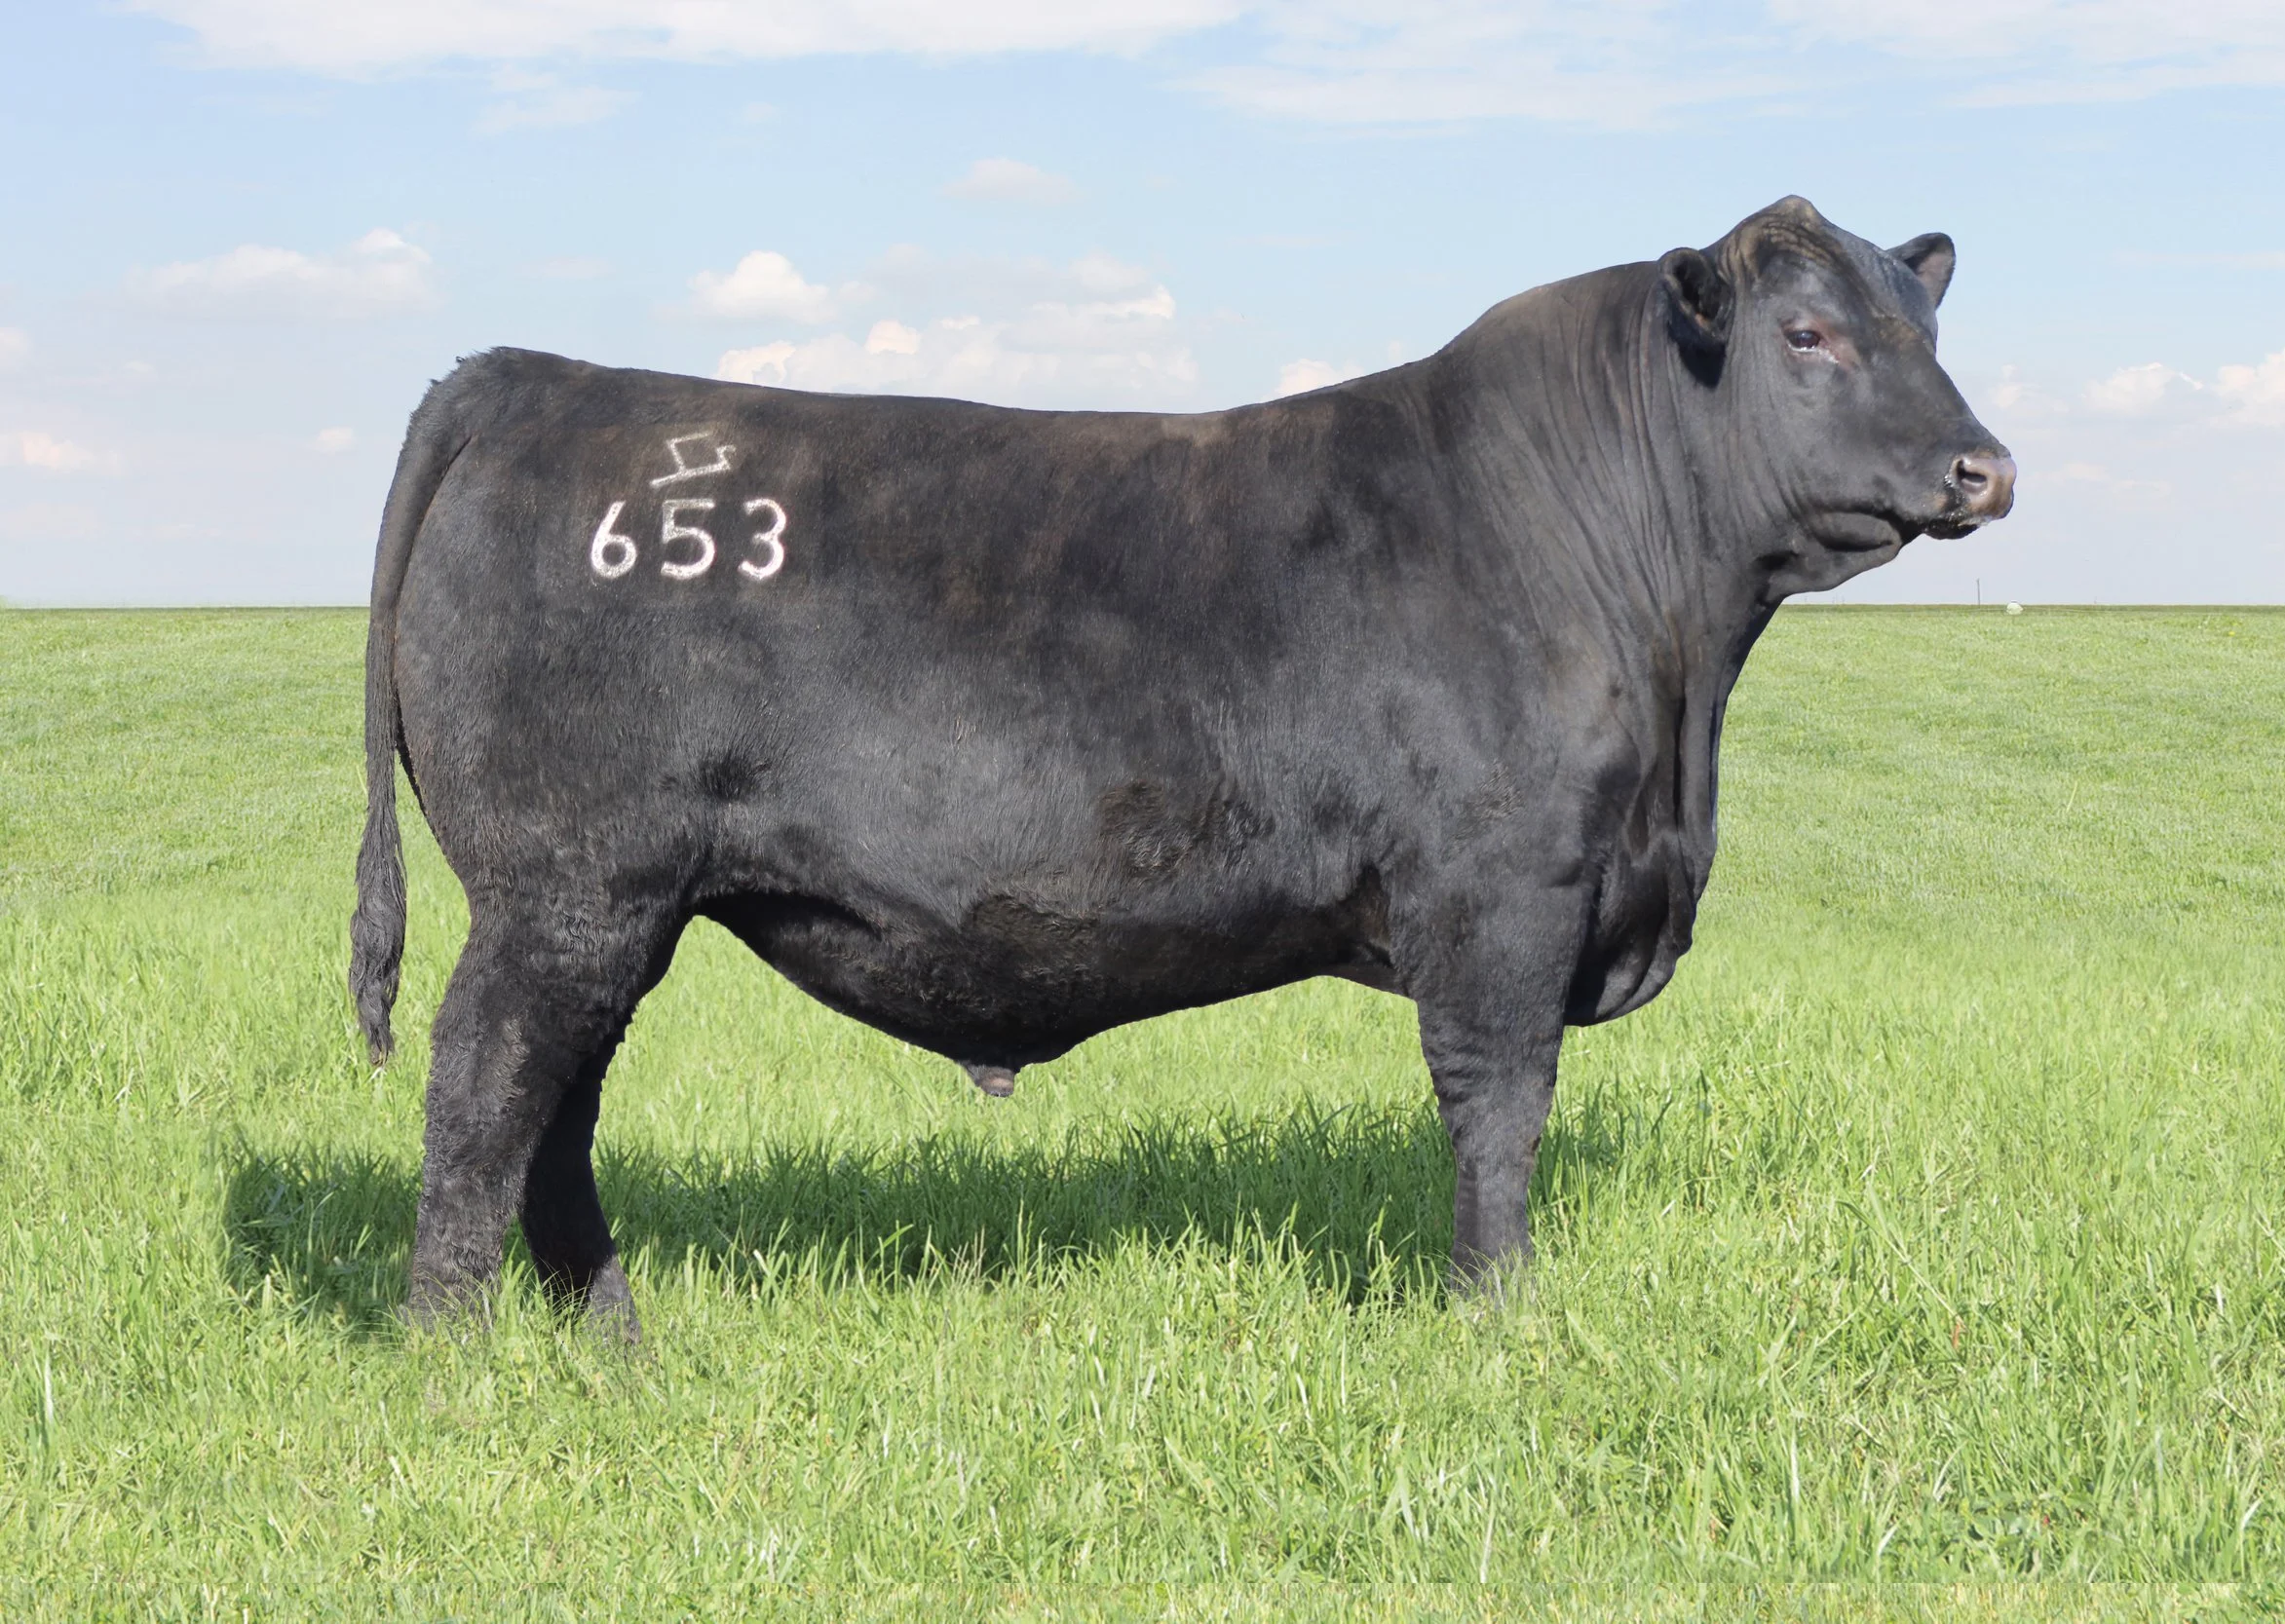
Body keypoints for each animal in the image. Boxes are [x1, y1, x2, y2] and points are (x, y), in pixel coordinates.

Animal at [351, 196, 2014, 1336]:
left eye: (1929, 334)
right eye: (1806, 334)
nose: (1983, 466)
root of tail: (524, 376)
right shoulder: (1502, 885)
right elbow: (1498, 1101)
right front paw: (1494, 1313)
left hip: (610, 902)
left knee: (558, 1101)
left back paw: (612, 1334)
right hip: (568, 884)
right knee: (486, 1080)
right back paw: (454, 1344)